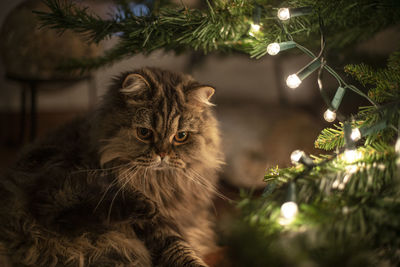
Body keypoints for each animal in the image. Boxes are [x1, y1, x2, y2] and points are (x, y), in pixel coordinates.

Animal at [0, 67, 223, 267]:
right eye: (144, 133)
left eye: (181, 136)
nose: (162, 155)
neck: (160, 184)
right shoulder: (157, 230)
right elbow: (178, 250)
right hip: (57, 187)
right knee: (70, 210)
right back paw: (143, 205)